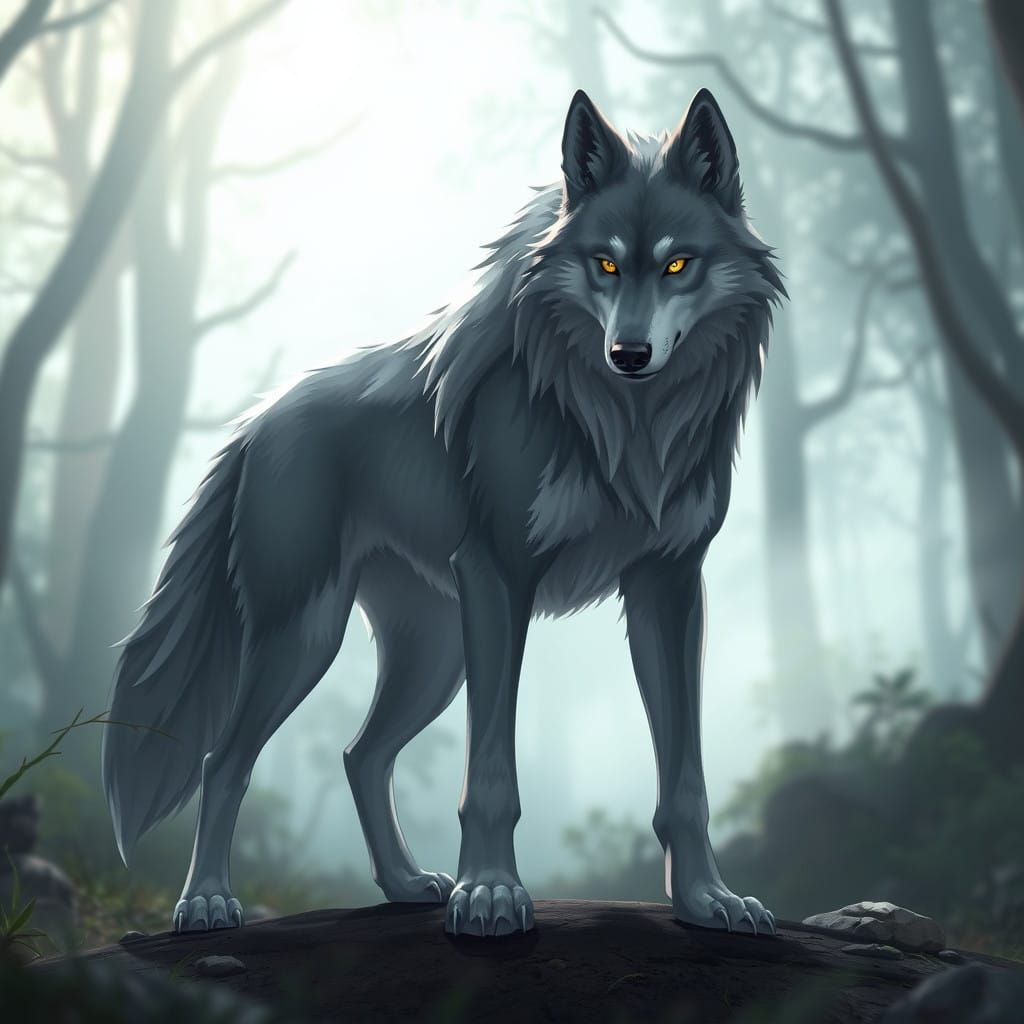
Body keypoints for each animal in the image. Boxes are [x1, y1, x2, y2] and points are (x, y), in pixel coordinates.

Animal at [102, 88, 784, 938]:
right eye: (605, 263)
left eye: (678, 263)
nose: (628, 353)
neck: (626, 426)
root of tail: (256, 421)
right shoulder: (499, 578)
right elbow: (490, 775)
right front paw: (490, 892)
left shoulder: (668, 588)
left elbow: (685, 779)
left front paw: (704, 900)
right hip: (309, 638)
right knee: (222, 762)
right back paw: (205, 902)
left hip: (433, 656)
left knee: (360, 755)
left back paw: (401, 883)